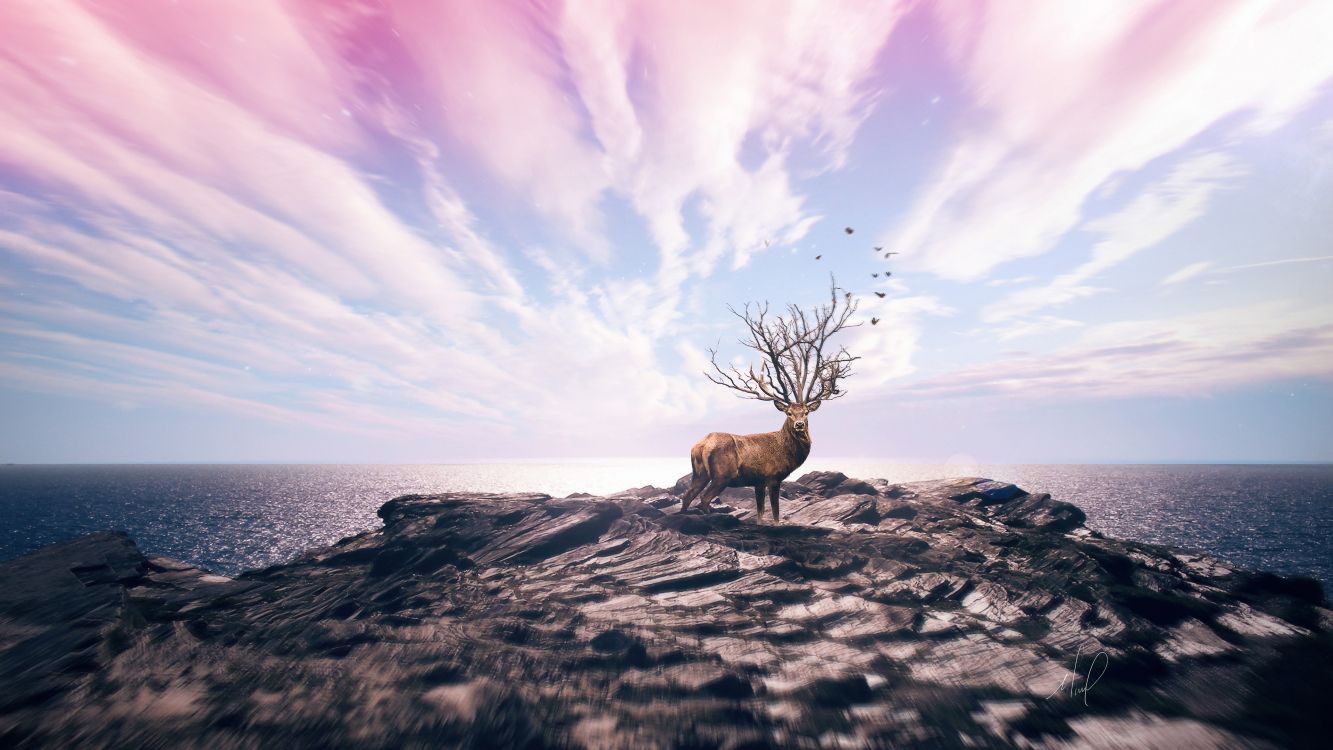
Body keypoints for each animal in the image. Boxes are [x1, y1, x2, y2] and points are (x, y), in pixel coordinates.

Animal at [682, 277, 858, 522]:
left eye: (806, 412)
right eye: (789, 412)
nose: (799, 424)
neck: (786, 453)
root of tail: (701, 444)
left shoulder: (758, 481)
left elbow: (760, 513)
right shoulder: (772, 476)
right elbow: (774, 514)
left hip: (698, 473)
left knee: (686, 497)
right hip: (722, 474)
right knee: (704, 499)